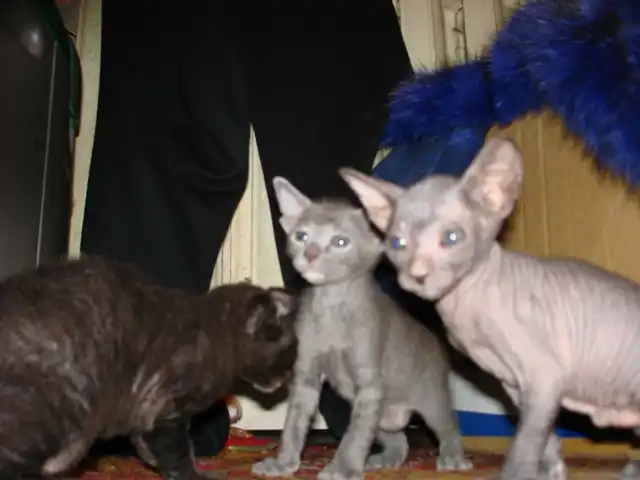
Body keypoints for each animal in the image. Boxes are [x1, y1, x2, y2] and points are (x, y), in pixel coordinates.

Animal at [0, 255, 298, 480]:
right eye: (290, 352)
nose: (287, 379)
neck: (213, 333)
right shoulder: (166, 408)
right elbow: (179, 453)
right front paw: (195, 476)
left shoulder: (147, 412)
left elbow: (150, 447)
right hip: (52, 411)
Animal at [251, 177, 472, 480]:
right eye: (301, 236)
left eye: (340, 242)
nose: (310, 254)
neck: (331, 307)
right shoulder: (307, 377)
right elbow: (294, 425)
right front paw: (283, 463)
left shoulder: (369, 385)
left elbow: (354, 436)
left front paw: (342, 469)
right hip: (381, 414)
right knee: (398, 438)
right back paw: (386, 459)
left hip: (430, 400)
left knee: (449, 426)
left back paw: (453, 458)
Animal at [339, 137, 640, 480]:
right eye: (397, 244)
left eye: (451, 237)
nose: (417, 275)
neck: (465, 303)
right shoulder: (515, 385)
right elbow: (543, 436)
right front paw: (551, 469)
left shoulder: (544, 377)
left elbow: (524, 442)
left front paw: (518, 473)